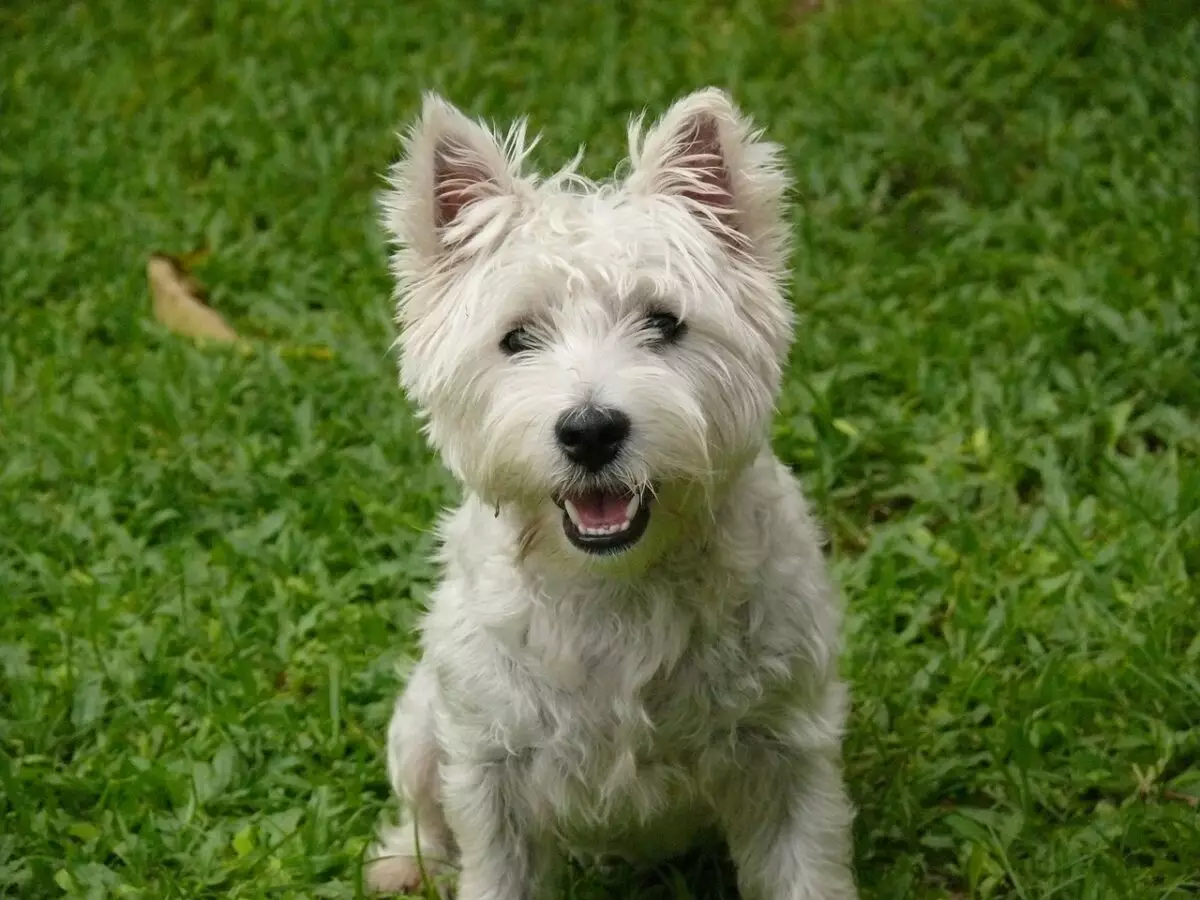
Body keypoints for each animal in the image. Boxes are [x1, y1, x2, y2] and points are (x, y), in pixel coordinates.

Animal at [367, 86, 864, 900]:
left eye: (664, 323)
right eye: (516, 338)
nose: (591, 431)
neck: (615, 589)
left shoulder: (788, 750)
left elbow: (804, 870)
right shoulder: (490, 767)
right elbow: (491, 863)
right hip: (421, 721)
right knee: (423, 807)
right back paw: (404, 864)